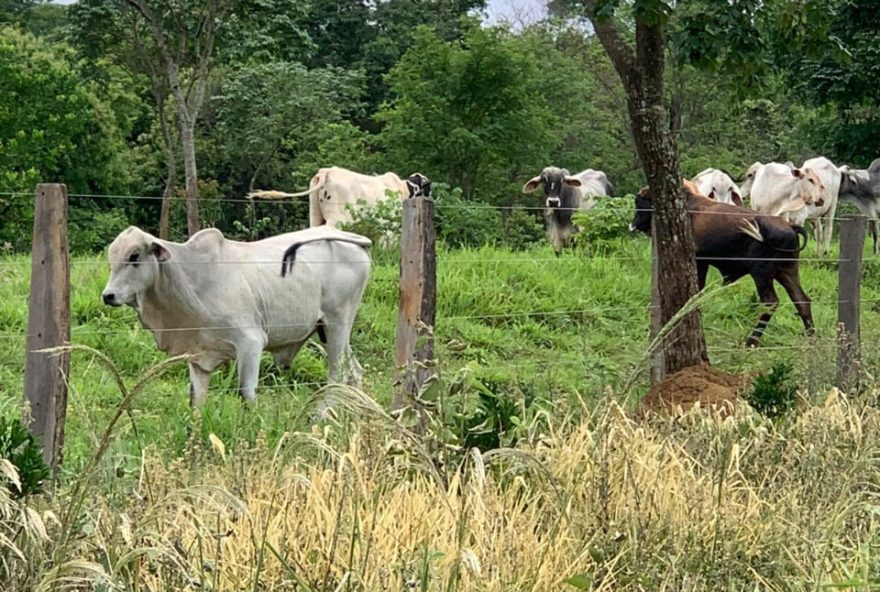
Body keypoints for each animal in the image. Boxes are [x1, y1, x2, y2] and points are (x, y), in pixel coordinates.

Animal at [101, 224, 372, 404]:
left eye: (134, 256)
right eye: (111, 259)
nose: (108, 295)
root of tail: (348, 238)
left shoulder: (251, 343)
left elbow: (246, 394)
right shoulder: (198, 355)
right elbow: (196, 400)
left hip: (337, 324)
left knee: (336, 376)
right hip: (330, 330)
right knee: (354, 372)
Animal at [632, 180, 812, 346]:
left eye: (639, 203)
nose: (633, 225)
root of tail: (790, 226)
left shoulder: (699, 261)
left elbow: (697, 291)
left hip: (762, 274)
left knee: (770, 302)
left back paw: (751, 341)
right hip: (787, 272)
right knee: (802, 300)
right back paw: (811, 339)